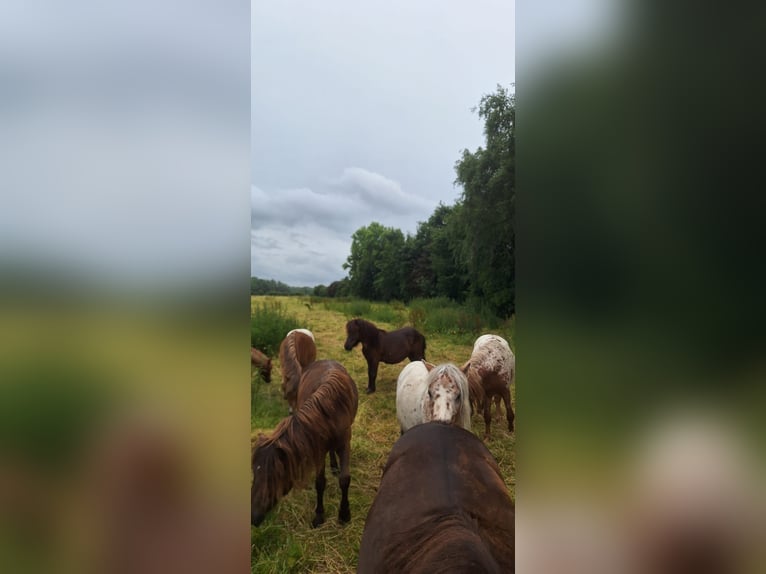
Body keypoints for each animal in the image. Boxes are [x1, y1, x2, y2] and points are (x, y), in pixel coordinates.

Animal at [252, 362, 360, 528]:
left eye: (275, 475)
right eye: (254, 473)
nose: (253, 517)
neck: (329, 412)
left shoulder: (344, 443)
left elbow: (344, 479)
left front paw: (344, 514)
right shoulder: (319, 449)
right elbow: (320, 482)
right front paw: (319, 516)